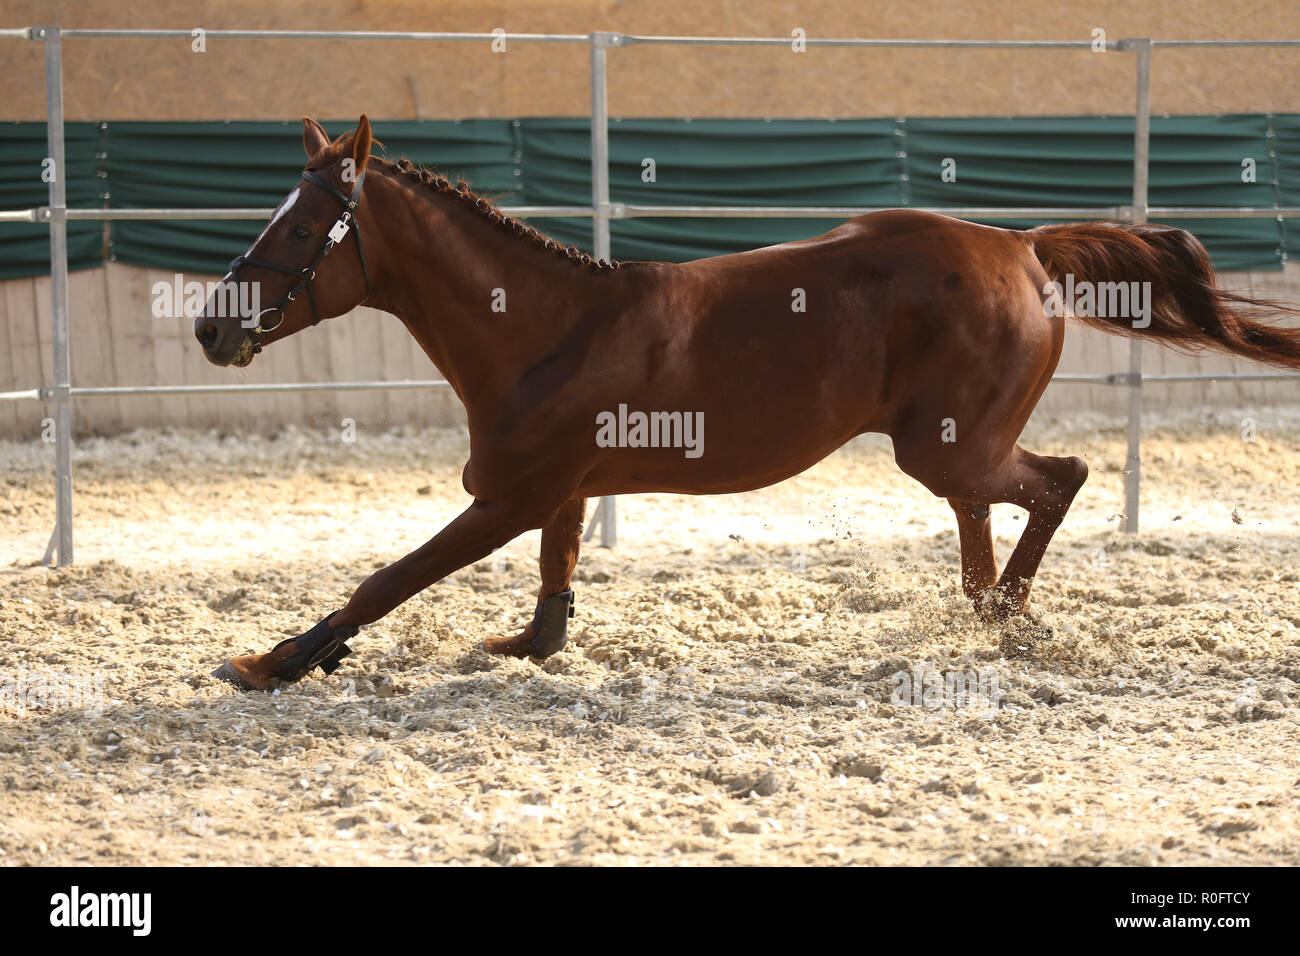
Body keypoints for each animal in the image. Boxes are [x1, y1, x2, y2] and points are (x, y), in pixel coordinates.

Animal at [197, 115, 1300, 691]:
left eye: (301, 231)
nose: (210, 327)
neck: (546, 328)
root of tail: (1023, 248)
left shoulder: (509, 497)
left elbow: (388, 578)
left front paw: (275, 657)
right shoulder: (559, 491)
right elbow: (551, 599)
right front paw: (515, 645)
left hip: (946, 442)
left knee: (1056, 480)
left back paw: (1006, 618)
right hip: (951, 440)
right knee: (990, 508)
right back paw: (984, 618)